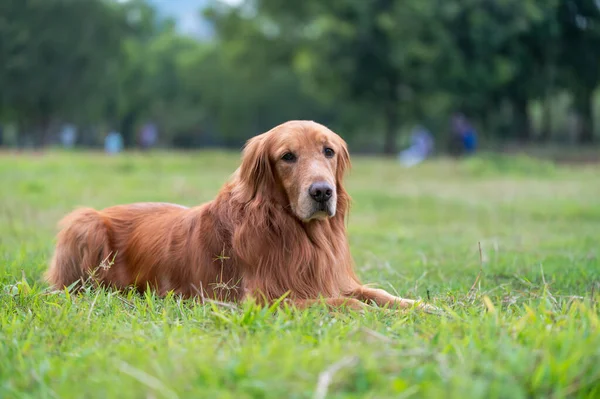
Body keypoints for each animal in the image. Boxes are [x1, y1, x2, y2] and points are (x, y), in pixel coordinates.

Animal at [47, 121, 432, 312]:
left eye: (328, 151)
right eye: (287, 156)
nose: (322, 192)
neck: (290, 228)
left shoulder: (332, 279)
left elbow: (377, 294)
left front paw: (423, 307)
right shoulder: (267, 299)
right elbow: (349, 305)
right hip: (84, 223)